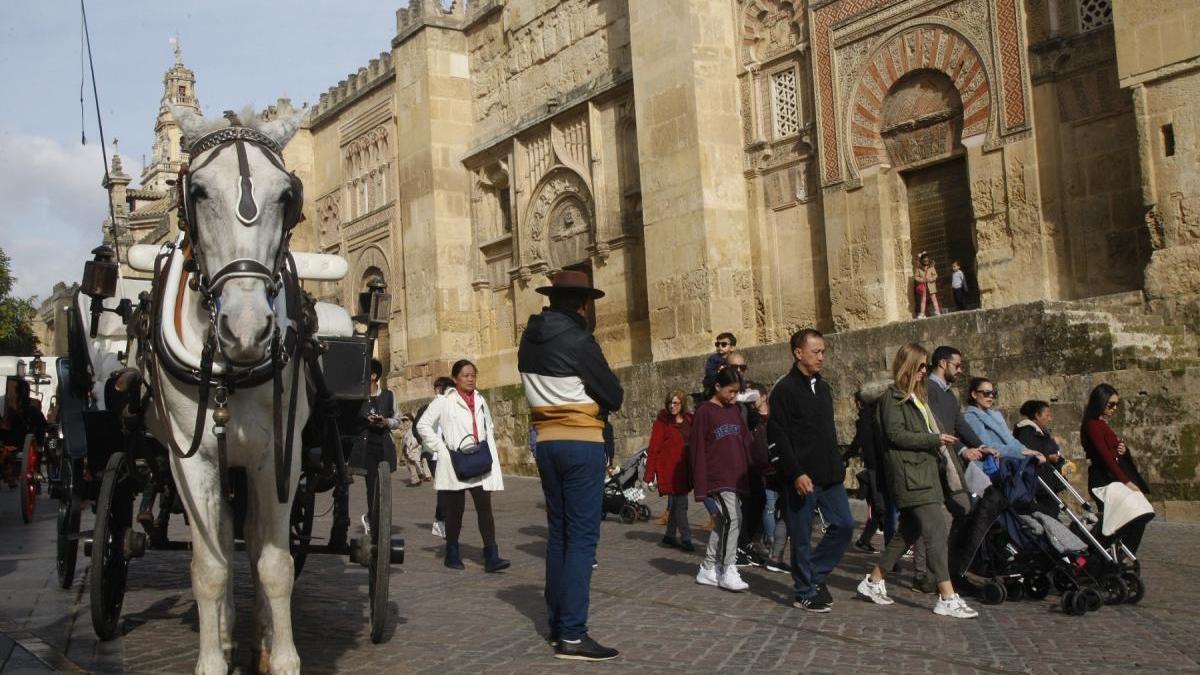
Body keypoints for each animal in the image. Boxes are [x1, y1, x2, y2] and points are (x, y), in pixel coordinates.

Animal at [148, 105, 309, 672]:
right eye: (196, 191)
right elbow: (210, 568)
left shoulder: (281, 452)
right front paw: (213, 658)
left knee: (256, 541)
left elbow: (275, 563)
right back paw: (223, 631)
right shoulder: (189, 459)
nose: (247, 330)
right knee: (218, 539)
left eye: (287, 195)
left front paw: (281, 657)